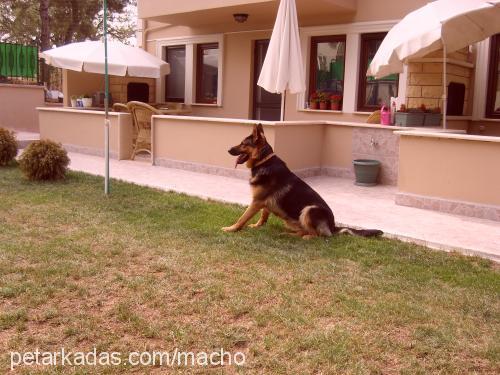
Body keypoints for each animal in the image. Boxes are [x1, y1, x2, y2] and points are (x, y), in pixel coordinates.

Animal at [223, 125, 382, 239]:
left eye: (243, 144)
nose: (228, 149)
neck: (264, 161)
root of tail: (333, 226)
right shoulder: (263, 202)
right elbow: (264, 215)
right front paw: (257, 226)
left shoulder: (256, 201)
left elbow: (242, 218)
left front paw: (231, 229)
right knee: (303, 231)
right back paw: (288, 234)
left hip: (308, 210)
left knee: (317, 235)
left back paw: (304, 237)